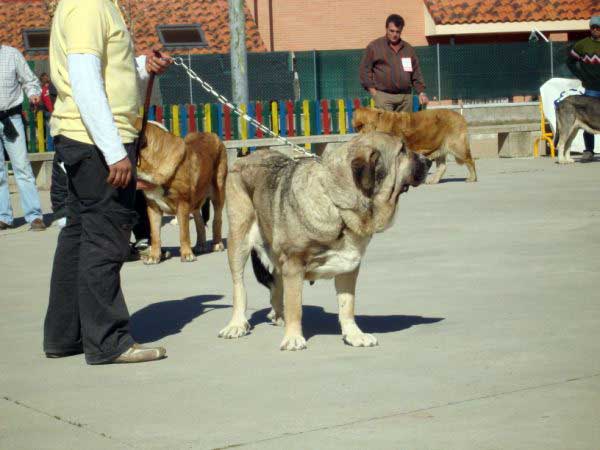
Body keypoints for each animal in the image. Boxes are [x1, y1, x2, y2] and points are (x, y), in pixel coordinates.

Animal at [136, 121, 227, 266]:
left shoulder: (182, 203)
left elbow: (184, 232)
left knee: (217, 219)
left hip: (218, 192)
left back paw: (217, 244)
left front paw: (187, 254)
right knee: (199, 220)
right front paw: (154, 256)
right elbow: (155, 235)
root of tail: (211, 134)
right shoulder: (153, 207)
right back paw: (200, 245)